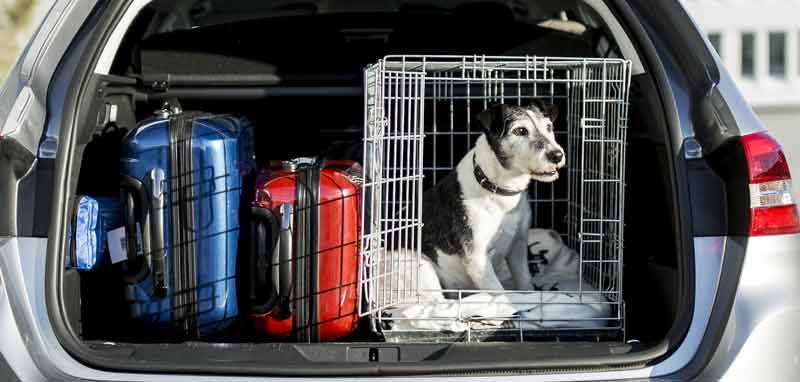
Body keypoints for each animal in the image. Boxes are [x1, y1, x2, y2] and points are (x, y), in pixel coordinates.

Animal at [422, 101, 564, 292]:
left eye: (549, 127)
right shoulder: (478, 260)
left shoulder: (518, 247)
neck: (498, 189)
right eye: (520, 131)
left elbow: (525, 282)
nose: (557, 155)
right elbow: (500, 293)